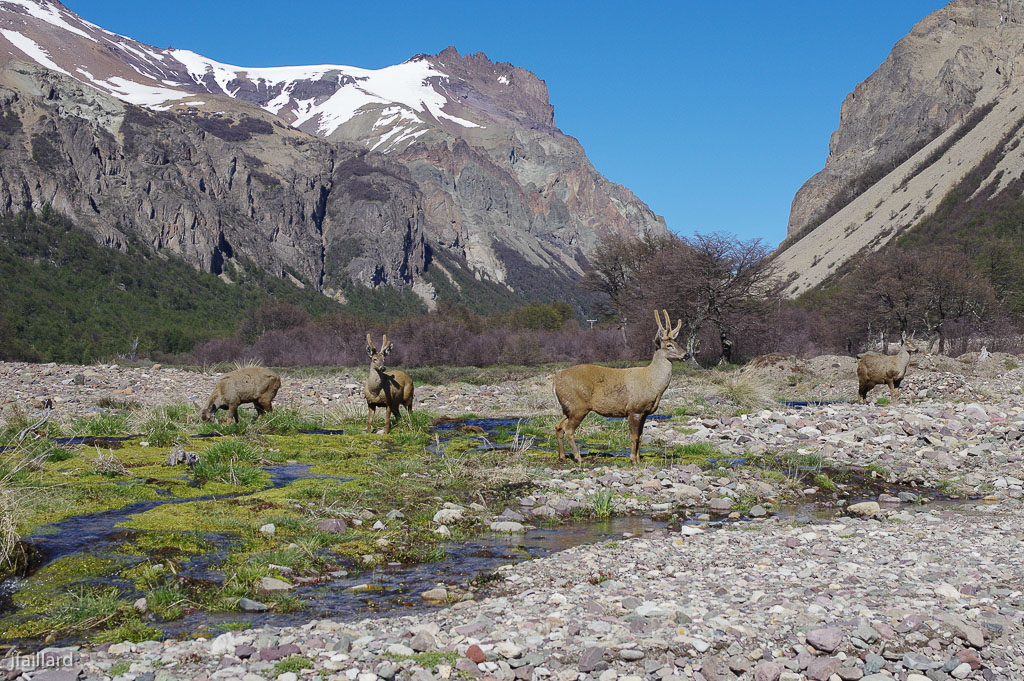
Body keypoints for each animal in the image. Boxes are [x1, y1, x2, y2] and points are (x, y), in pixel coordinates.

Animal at [552, 309, 688, 464]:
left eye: (676, 342)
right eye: (669, 345)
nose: (686, 354)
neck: (652, 382)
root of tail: (556, 378)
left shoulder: (645, 412)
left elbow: (641, 436)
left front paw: (639, 460)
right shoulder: (634, 409)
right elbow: (634, 436)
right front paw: (633, 460)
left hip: (568, 407)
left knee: (558, 426)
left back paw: (562, 457)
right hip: (578, 406)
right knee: (568, 430)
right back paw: (578, 457)